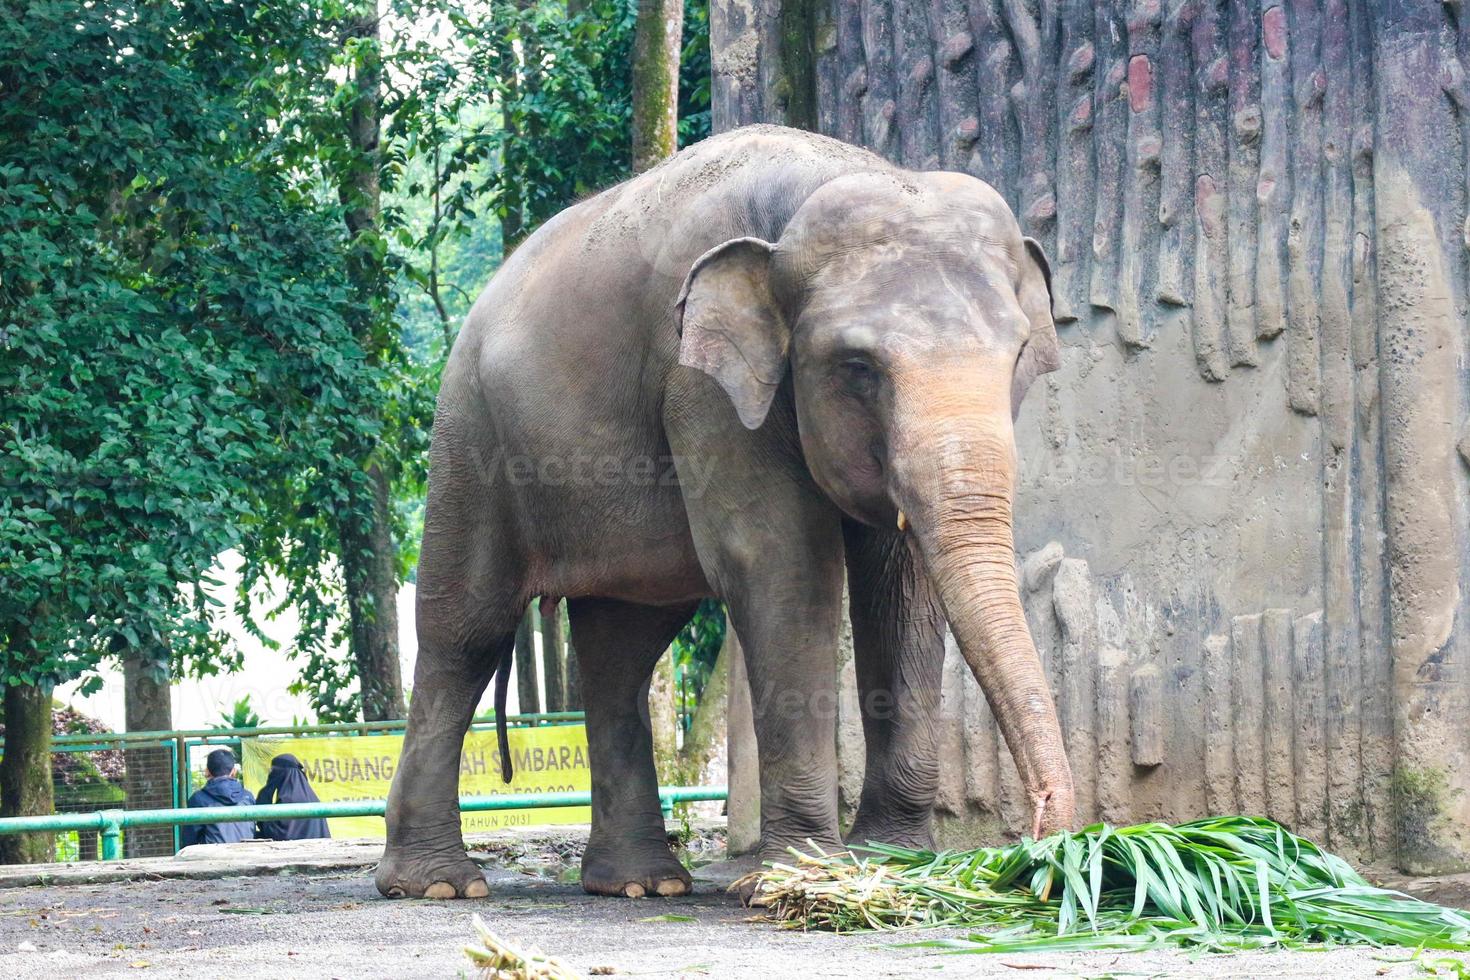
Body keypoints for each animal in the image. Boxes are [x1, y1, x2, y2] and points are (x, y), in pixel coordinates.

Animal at [373, 124, 1076, 905]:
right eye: (858, 367)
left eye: (1019, 355)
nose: (1046, 843)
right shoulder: (700, 381)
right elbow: (778, 561)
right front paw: (804, 875)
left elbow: (901, 584)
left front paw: (894, 863)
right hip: (470, 436)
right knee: (466, 630)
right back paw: (438, 885)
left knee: (622, 646)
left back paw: (641, 885)